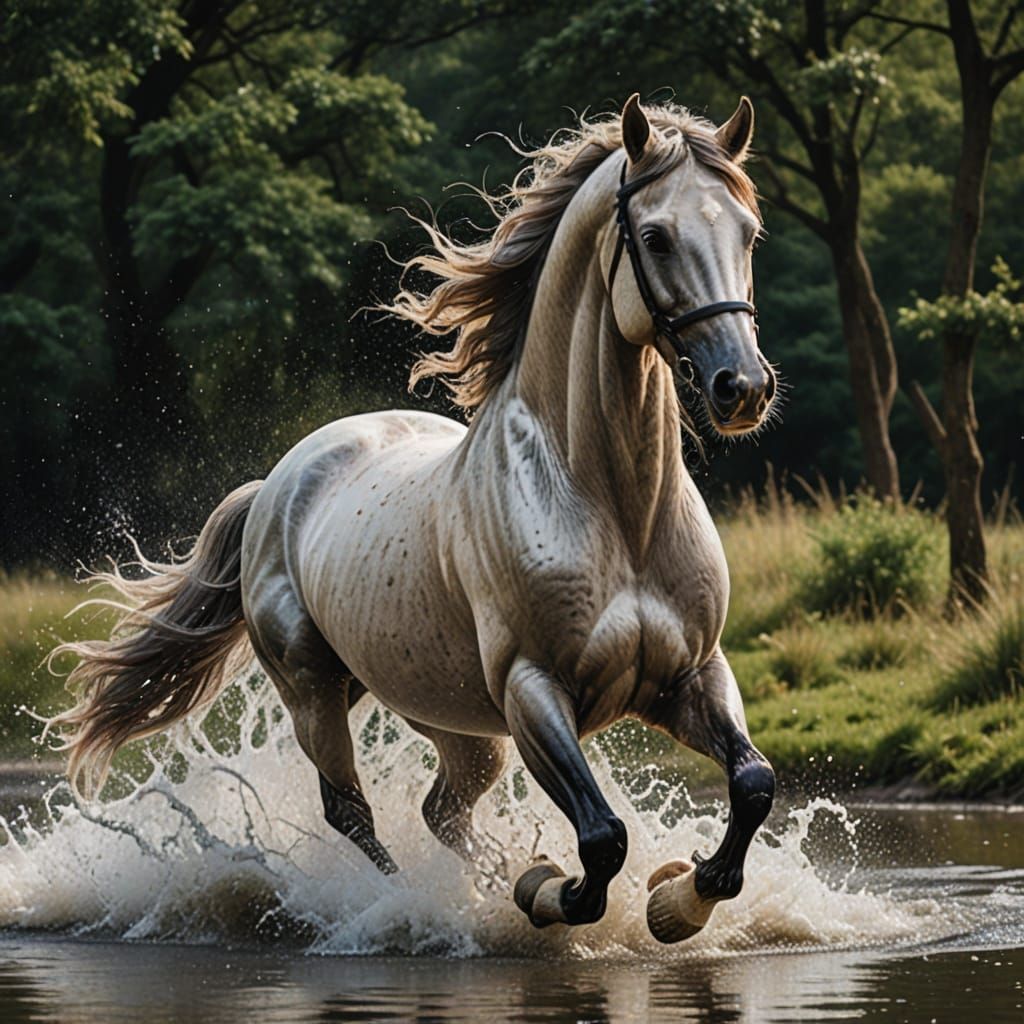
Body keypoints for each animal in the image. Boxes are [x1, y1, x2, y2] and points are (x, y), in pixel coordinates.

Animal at [52, 94, 779, 944]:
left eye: (748, 230)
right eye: (657, 236)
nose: (743, 388)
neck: (610, 507)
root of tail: (275, 486)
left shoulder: (691, 675)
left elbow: (753, 782)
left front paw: (679, 898)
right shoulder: (533, 692)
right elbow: (602, 839)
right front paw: (554, 892)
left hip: (446, 715)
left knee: (443, 813)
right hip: (316, 694)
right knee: (354, 814)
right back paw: (417, 906)